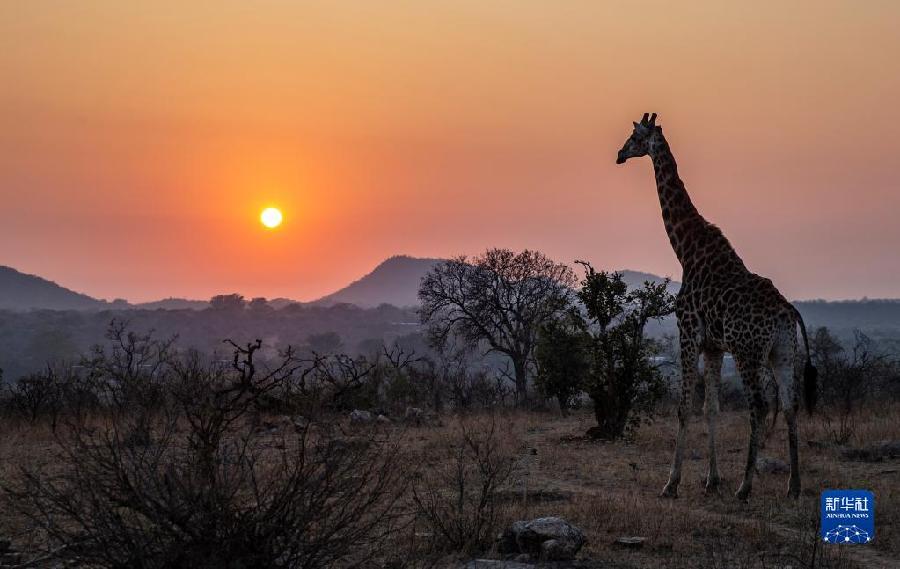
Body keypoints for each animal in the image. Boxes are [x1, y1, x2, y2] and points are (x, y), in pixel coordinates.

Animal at [616, 113, 820, 500]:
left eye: (634, 137)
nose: (619, 155)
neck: (686, 249)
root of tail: (788, 313)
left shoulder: (688, 333)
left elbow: (683, 408)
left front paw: (671, 483)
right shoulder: (713, 346)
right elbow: (711, 409)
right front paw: (711, 480)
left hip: (747, 351)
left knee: (759, 406)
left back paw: (745, 487)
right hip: (783, 352)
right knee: (790, 406)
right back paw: (794, 486)